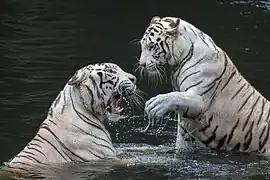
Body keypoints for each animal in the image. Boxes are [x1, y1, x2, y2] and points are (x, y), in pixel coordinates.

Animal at [138, 16, 270, 155]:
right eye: (142, 45)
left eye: (151, 46)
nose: (142, 64)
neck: (179, 61)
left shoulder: (200, 100)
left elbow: (175, 96)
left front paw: (154, 105)